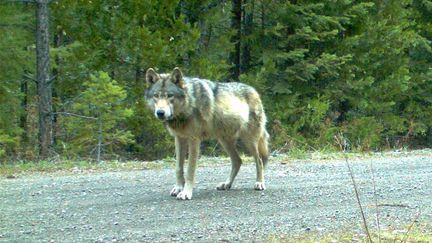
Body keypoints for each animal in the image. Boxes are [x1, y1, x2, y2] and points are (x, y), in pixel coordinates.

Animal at [145, 67, 268, 199]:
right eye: (156, 96)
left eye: (170, 96)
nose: (160, 112)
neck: (189, 104)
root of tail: (254, 90)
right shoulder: (179, 138)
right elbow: (178, 168)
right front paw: (178, 188)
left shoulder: (194, 140)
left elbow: (190, 170)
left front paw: (186, 193)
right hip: (224, 141)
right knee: (238, 161)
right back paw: (226, 184)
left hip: (249, 141)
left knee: (259, 160)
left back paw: (259, 183)